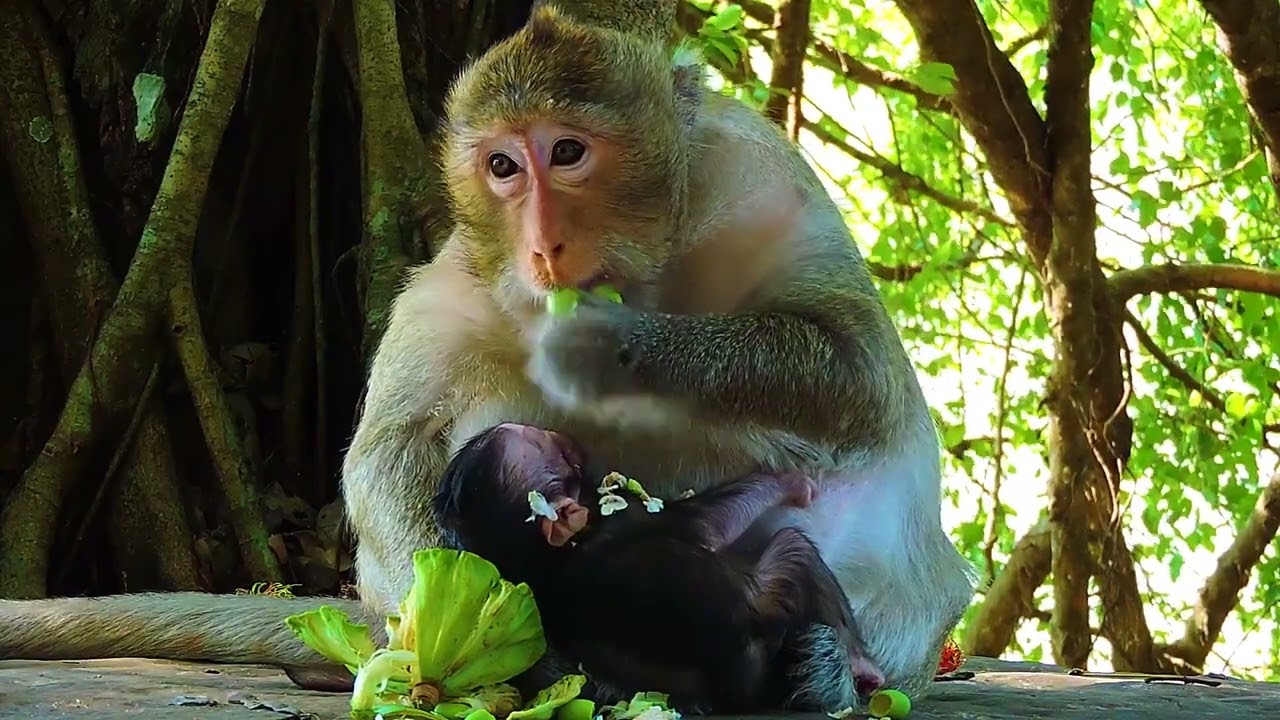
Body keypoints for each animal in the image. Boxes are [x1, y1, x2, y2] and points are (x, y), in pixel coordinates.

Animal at [432, 422, 886, 714]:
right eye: (558, 455)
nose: (567, 439)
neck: (545, 556)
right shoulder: (628, 518)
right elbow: (710, 522)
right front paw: (790, 481)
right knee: (793, 552)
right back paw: (861, 667)